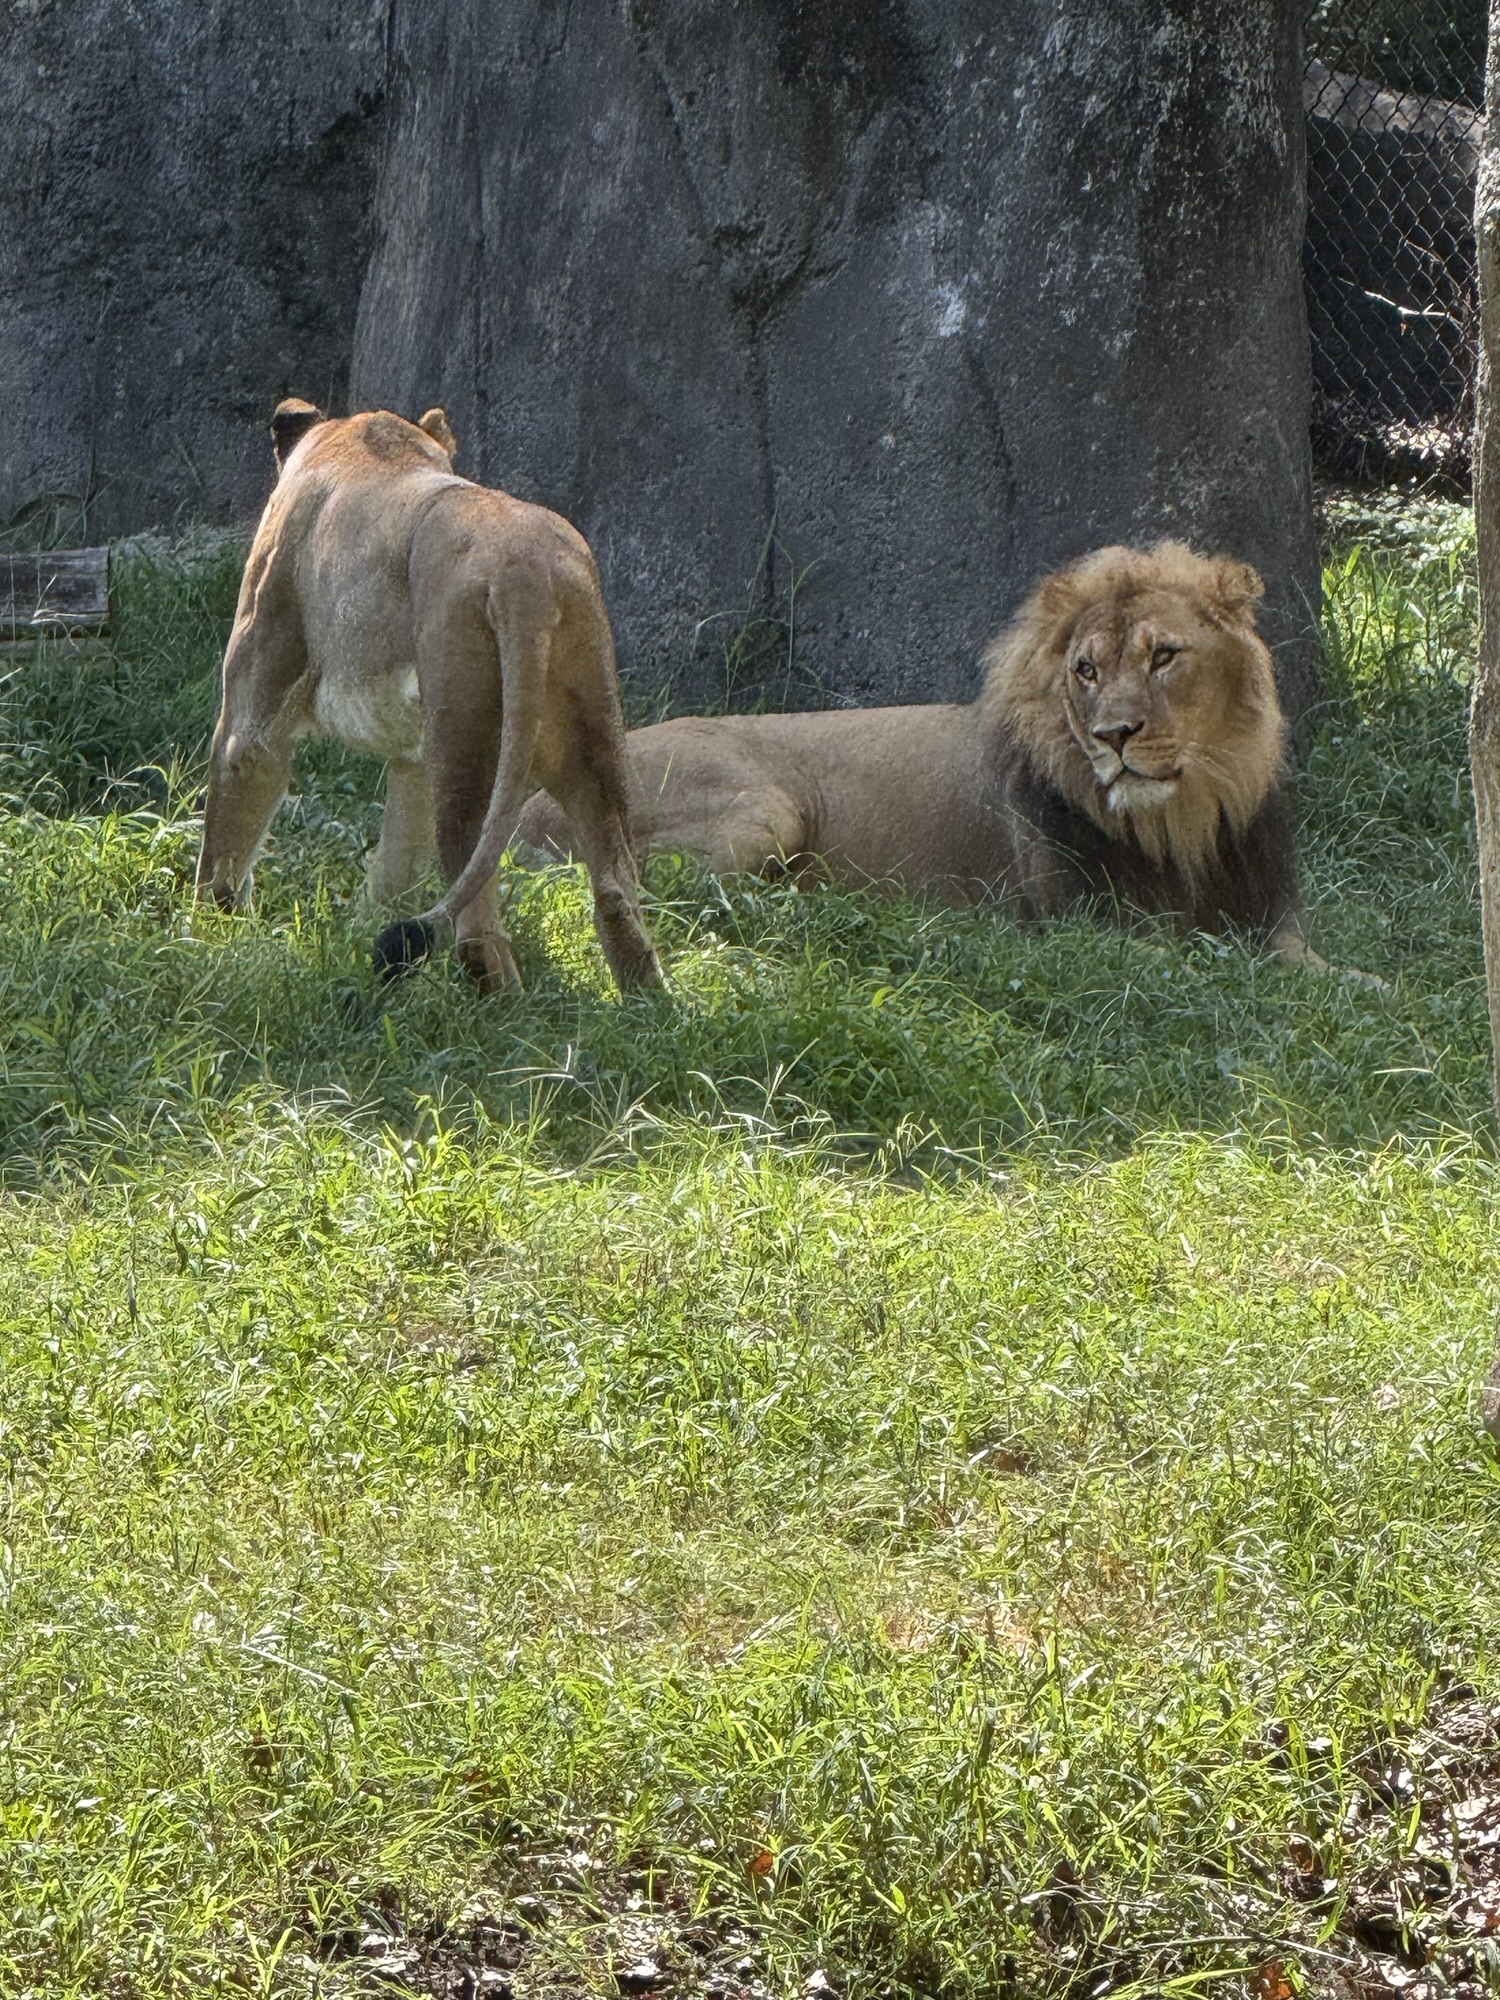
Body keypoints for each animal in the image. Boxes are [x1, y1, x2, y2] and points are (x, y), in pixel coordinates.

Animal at [196, 398, 663, 995]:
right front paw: (363, 926)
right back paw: (647, 1000)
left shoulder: (255, 706)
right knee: (614, 883)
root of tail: (524, 573)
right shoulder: (413, 753)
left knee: (477, 913)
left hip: (466, 741)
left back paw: (492, 997)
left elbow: (229, 819)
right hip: (590, 738)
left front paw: (211, 932)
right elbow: (398, 854)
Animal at [515, 540, 1318, 965]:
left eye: (1164, 657)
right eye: (1086, 671)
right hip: (763, 810)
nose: (1112, 737)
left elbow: (1324, 969)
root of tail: (529, 802)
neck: (1182, 824)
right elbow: (1218, 963)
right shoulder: (1091, 934)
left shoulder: (1273, 922)